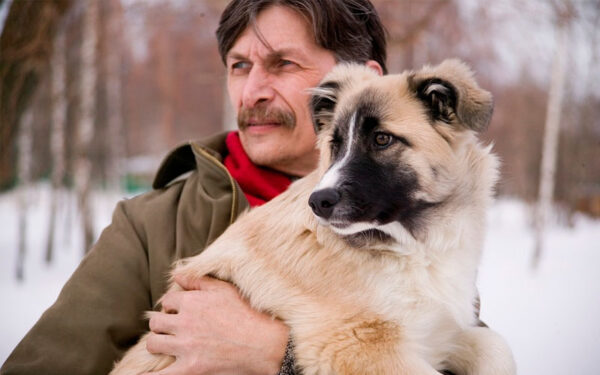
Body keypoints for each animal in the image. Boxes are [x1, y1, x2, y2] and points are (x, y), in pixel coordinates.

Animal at [111, 59, 516, 375]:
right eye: (335, 145)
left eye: (382, 139)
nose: (319, 202)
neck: (411, 246)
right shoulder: (358, 346)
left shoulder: (438, 331)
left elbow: (497, 347)